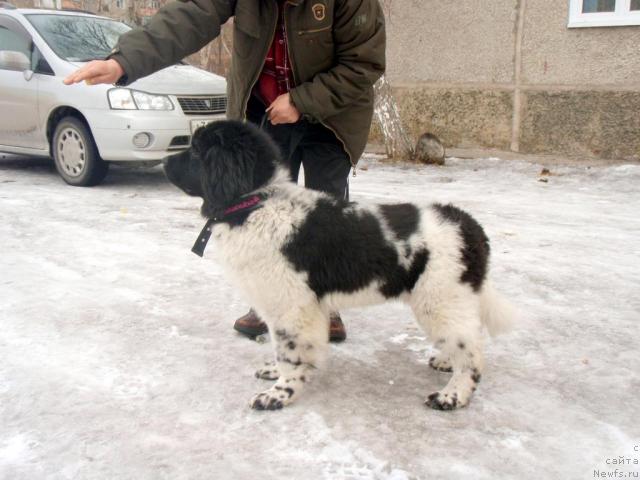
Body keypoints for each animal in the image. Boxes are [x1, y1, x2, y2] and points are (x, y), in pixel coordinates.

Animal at [166, 121, 516, 412]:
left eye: (196, 151)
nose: (166, 162)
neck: (257, 204)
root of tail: (469, 225)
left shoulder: (291, 305)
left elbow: (290, 352)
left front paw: (279, 394)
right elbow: (284, 348)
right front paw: (274, 373)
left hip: (440, 298)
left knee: (472, 353)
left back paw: (452, 396)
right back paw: (445, 361)